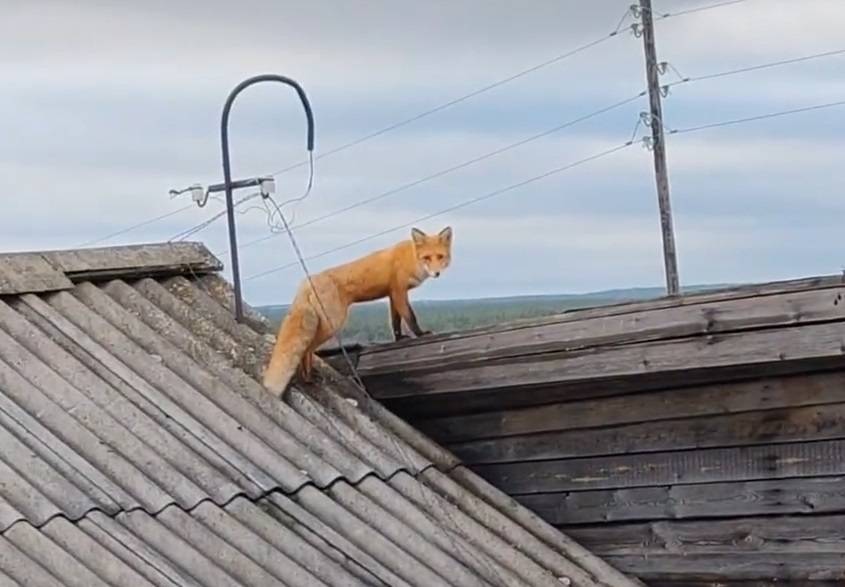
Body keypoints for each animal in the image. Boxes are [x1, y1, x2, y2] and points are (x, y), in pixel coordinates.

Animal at [262, 226, 453, 396]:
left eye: (440, 256)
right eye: (427, 258)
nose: (436, 273)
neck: (412, 258)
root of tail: (307, 281)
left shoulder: (393, 295)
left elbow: (395, 322)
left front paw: (399, 338)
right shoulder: (399, 291)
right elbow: (411, 317)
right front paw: (421, 334)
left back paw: (308, 377)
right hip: (332, 324)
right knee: (307, 349)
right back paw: (307, 378)